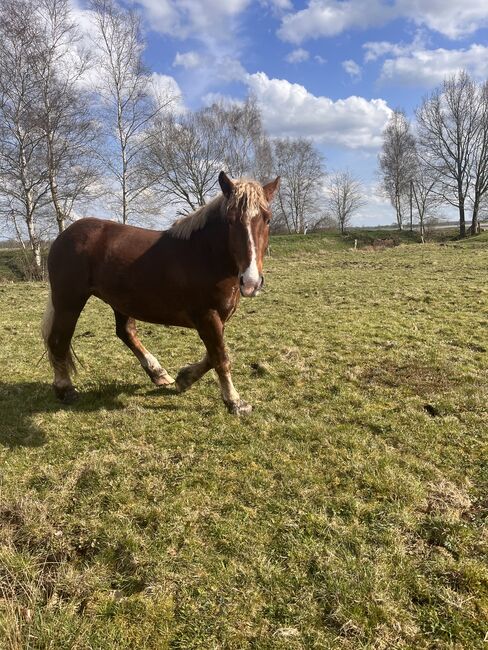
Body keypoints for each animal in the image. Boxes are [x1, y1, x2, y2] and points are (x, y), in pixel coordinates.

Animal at [42, 172, 280, 416]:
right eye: (230, 221)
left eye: (267, 219)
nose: (251, 282)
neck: (206, 255)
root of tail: (63, 236)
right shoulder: (207, 316)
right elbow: (220, 357)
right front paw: (235, 402)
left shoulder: (218, 318)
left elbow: (213, 355)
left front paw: (184, 378)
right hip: (68, 302)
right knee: (58, 339)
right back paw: (65, 389)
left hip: (120, 301)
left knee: (125, 332)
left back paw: (158, 373)